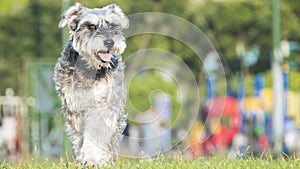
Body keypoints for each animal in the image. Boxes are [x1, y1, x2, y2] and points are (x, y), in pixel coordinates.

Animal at [53, 2, 128, 166]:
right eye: (91, 26)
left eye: (112, 25)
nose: (109, 42)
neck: (89, 68)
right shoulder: (74, 106)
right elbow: (79, 136)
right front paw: (84, 157)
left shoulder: (103, 105)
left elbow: (96, 132)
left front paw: (92, 158)